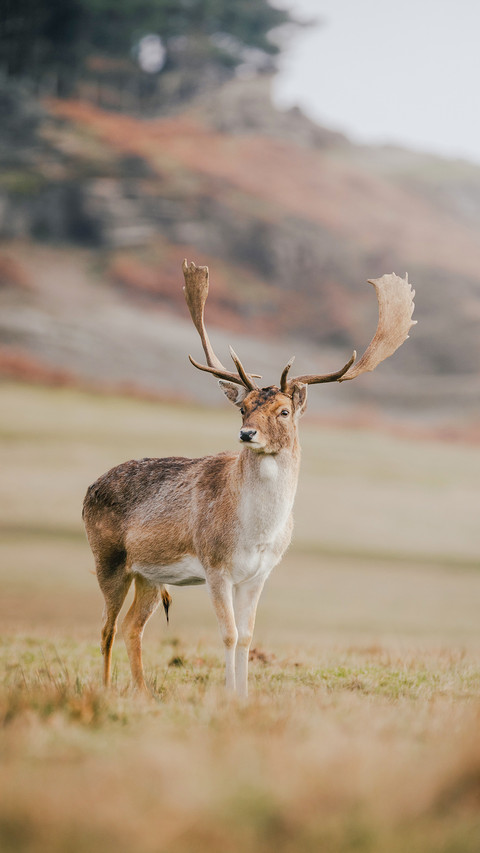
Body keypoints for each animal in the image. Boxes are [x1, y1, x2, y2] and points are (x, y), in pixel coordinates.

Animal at [83, 260, 416, 699]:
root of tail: (88, 490)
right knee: (105, 627)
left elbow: (246, 636)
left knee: (132, 626)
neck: (255, 533)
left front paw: (243, 695)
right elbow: (227, 633)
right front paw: (228, 696)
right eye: (244, 408)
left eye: (284, 411)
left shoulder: (259, 574)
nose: (246, 434)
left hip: (149, 575)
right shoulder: (215, 566)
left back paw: (143, 692)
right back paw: (104, 689)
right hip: (108, 558)